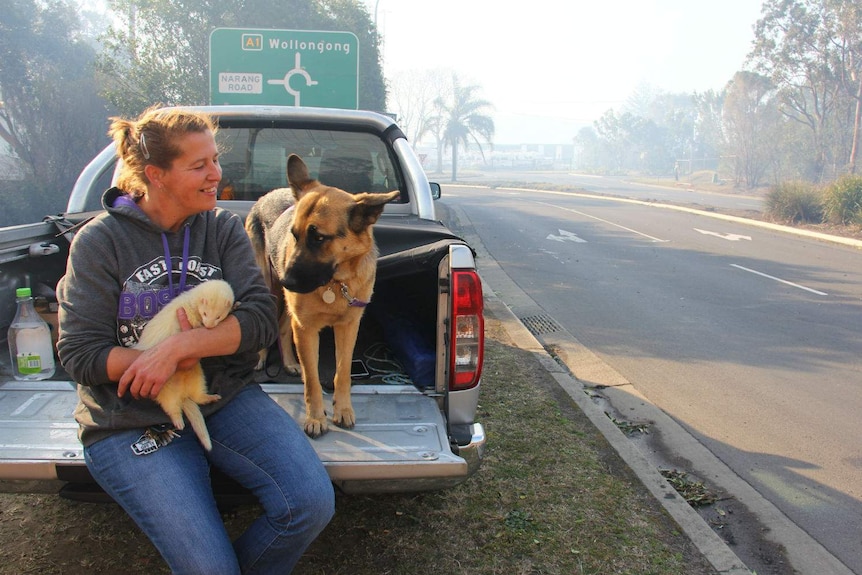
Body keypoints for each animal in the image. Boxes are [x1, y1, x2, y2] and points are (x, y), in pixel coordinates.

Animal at [246, 153, 402, 436]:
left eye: (318, 238)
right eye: (294, 235)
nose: (286, 280)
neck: (336, 282)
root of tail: (266, 195)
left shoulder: (348, 327)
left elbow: (342, 372)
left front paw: (343, 409)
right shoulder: (306, 328)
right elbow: (313, 380)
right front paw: (316, 417)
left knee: (283, 327)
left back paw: (289, 363)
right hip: (269, 288)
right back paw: (262, 358)